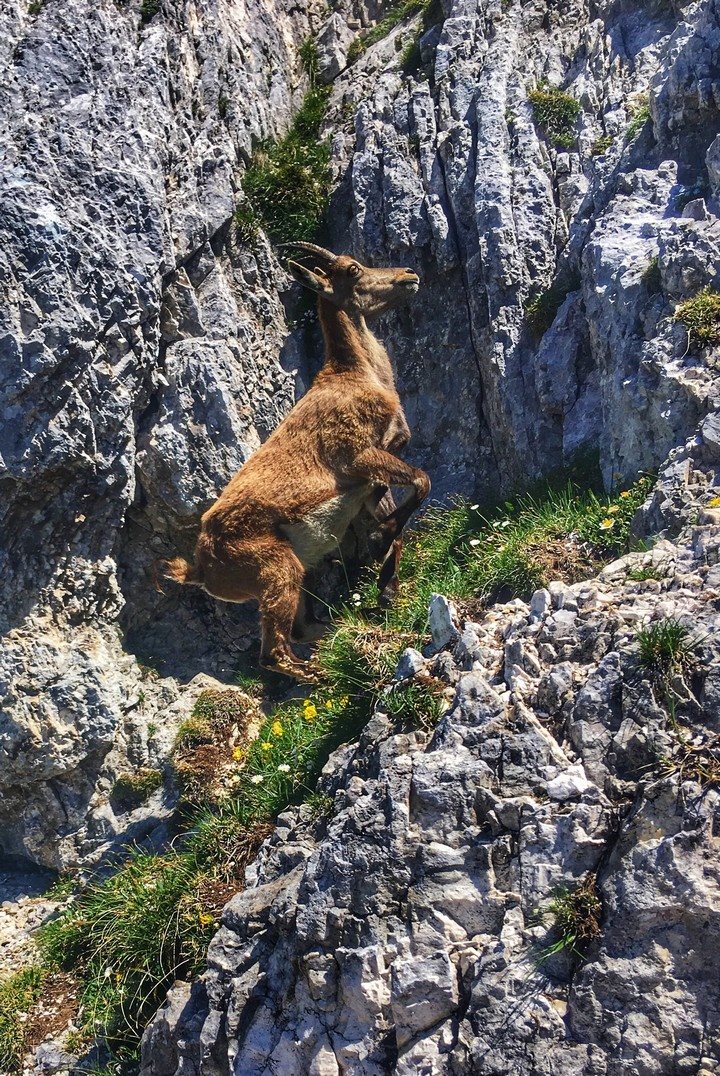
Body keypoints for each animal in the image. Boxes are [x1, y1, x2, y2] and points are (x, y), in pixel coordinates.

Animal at [164, 242, 431, 680]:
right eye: (353, 270)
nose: (409, 274)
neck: (357, 374)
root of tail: (202, 567)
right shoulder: (358, 454)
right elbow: (422, 481)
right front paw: (381, 542)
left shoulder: (371, 479)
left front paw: (387, 586)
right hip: (276, 568)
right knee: (273, 651)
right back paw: (321, 674)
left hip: (294, 570)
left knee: (302, 628)